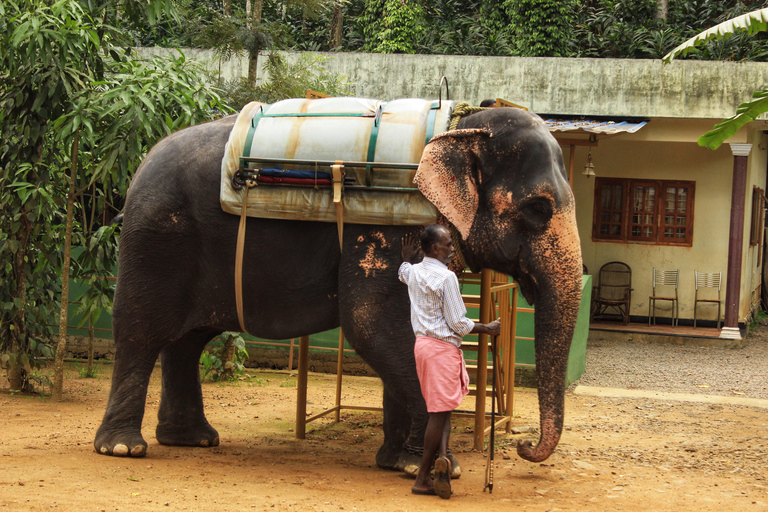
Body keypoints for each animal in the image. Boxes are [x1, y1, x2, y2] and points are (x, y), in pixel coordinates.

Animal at [94, 105, 584, 476]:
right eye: (538, 209)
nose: (524, 448)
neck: (457, 126)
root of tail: (138, 168)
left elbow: (393, 335)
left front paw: (394, 463)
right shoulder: (383, 233)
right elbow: (371, 324)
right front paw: (433, 467)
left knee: (187, 341)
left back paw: (192, 440)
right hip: (155, 239)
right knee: (139, 332)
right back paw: (123, 448)